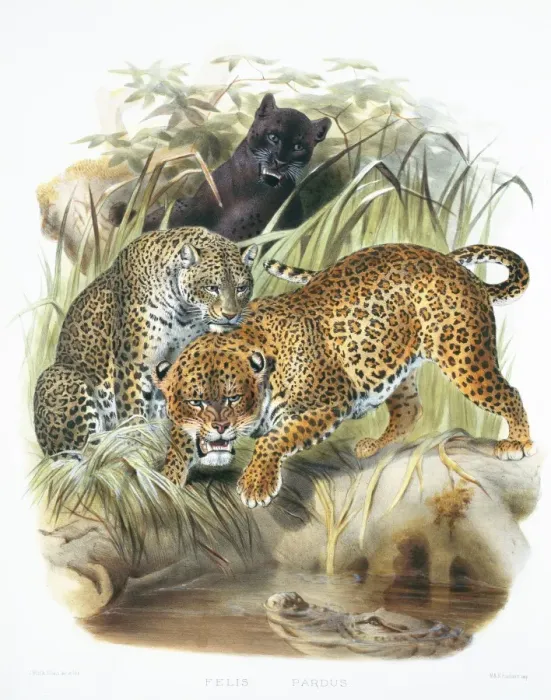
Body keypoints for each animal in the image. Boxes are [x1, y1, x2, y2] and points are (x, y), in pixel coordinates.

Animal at [33, 227, 258, 456]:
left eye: (241, 288)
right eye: (212, 288)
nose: (231, 315)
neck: (184, 313)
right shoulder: (133, 363)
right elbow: (133, 411)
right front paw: (136, 442)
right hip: (61, 378)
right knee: (79, 450)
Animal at [153, 242, 534, 508]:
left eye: (233, 398)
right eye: (195, 402)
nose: (219, 427)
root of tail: (454, 265)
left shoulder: (329, 404)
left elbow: (274, 438)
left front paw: (256, 485)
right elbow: (179, 444)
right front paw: (167, 480)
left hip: (464, 356)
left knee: (509, 393)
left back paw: (518, 443)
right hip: (392, 364)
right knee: (411, 409)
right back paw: (374, 446)